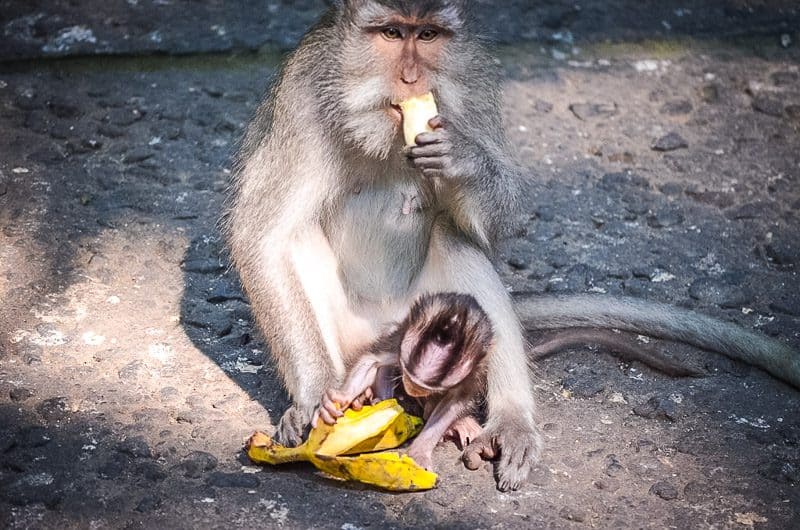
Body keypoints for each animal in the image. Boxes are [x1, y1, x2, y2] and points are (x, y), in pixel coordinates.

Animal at [314, 290, 494, 468]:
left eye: (422, 386)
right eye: (409, 376)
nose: (411, 387)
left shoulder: (474, 370)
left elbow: (454, 403)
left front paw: (420, 451)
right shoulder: (401, 341)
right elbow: (372, 361)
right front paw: (337, 400)